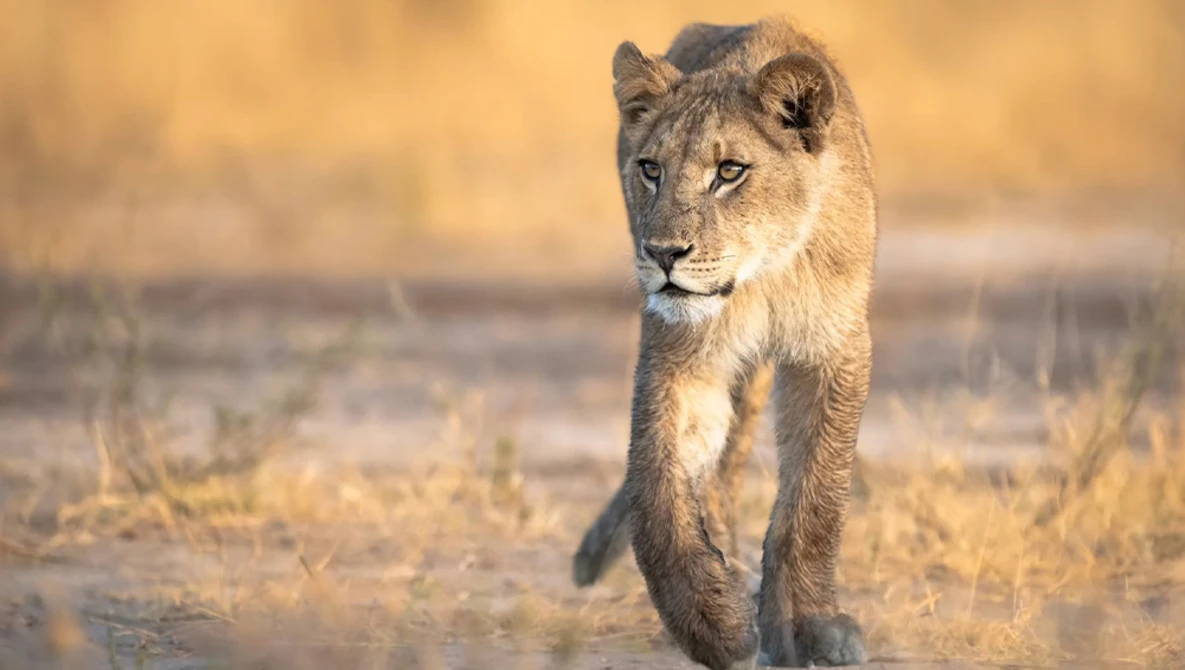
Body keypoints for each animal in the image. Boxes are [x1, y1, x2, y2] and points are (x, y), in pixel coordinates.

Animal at [570, 19, 877, 669]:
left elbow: (815, 497)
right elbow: (658, 494)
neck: (764, 275)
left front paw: (812, 627)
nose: (663, 253)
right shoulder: (682, 355)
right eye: (651, 169)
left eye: (730, 172)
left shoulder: (834, 350)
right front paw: (716, 624)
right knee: (716, 475)